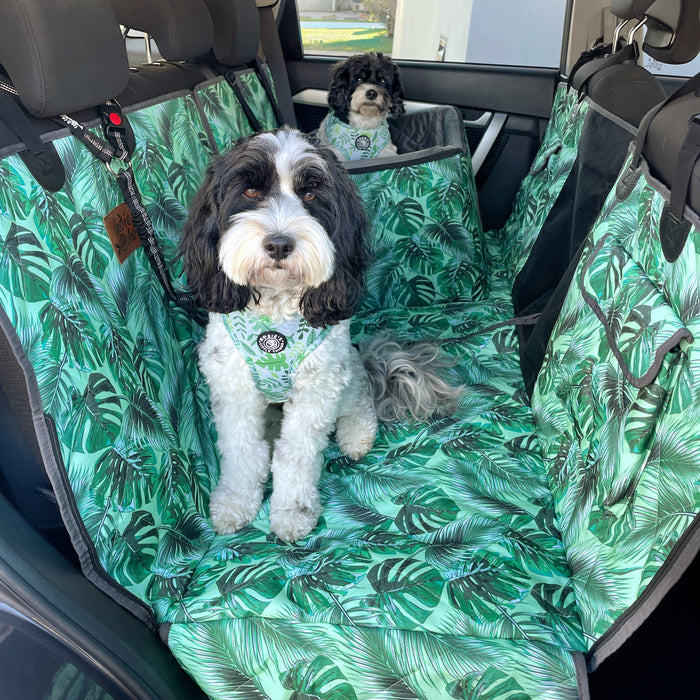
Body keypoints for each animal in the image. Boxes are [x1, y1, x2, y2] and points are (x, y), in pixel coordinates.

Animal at [179, 127, 460, 540]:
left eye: (310, 195)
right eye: (250, 191)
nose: (279, 244)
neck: (275, 320)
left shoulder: (317, 388)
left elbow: (295, 455)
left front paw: (292, 512)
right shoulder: (233, 386)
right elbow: (243, 451)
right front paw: (234, 502)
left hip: (345, 369)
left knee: (360, 397)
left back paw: (357, 434)